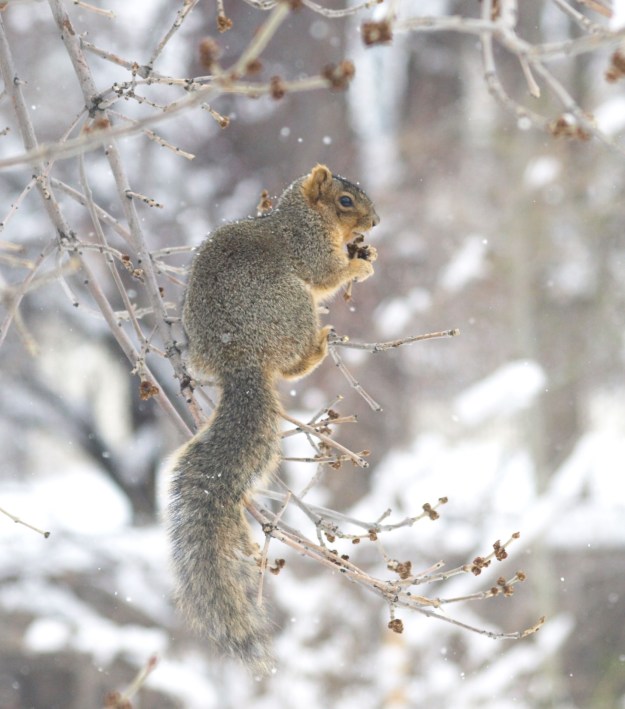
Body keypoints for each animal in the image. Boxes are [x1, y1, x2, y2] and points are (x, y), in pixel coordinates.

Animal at [167, 164, 379, 675]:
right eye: (346, 200)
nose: (376, 222)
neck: (300, 214)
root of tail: (240, 360)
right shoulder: (308, 246)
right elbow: (327, 273)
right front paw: (359, 265)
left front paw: (367, 251)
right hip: (293, 304)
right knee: (292, 361)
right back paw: (317, 348)